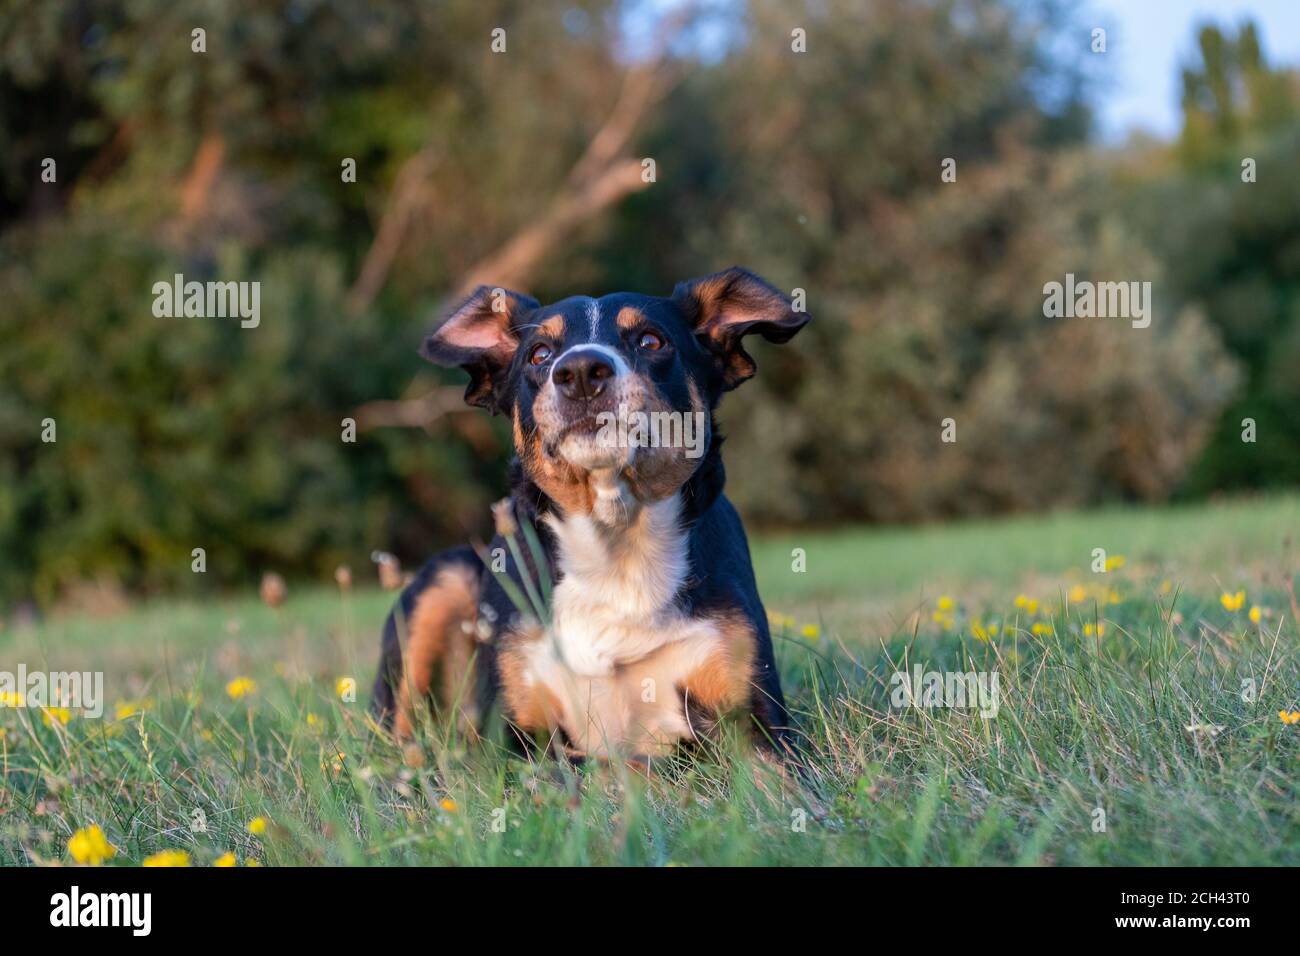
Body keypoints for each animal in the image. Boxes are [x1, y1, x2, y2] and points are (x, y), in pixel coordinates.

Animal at [371, 264, 806, 764]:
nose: (579, 371)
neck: (615, 538)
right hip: (445, 578)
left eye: (651, 341)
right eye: (540, 353)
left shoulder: (755, 721)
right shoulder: (515, 736)